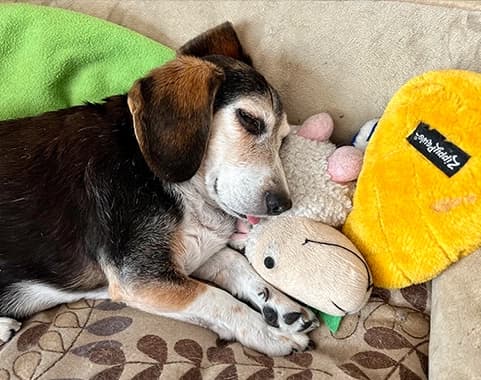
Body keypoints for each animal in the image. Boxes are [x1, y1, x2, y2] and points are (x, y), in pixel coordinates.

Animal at [0, 22, 318, 354]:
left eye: (284, 139)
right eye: (250, 120)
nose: (282, 204)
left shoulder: (190, 252)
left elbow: (235, 262)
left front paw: (282, 307)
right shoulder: (141, 277)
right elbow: (218, 299)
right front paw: (270, 334)